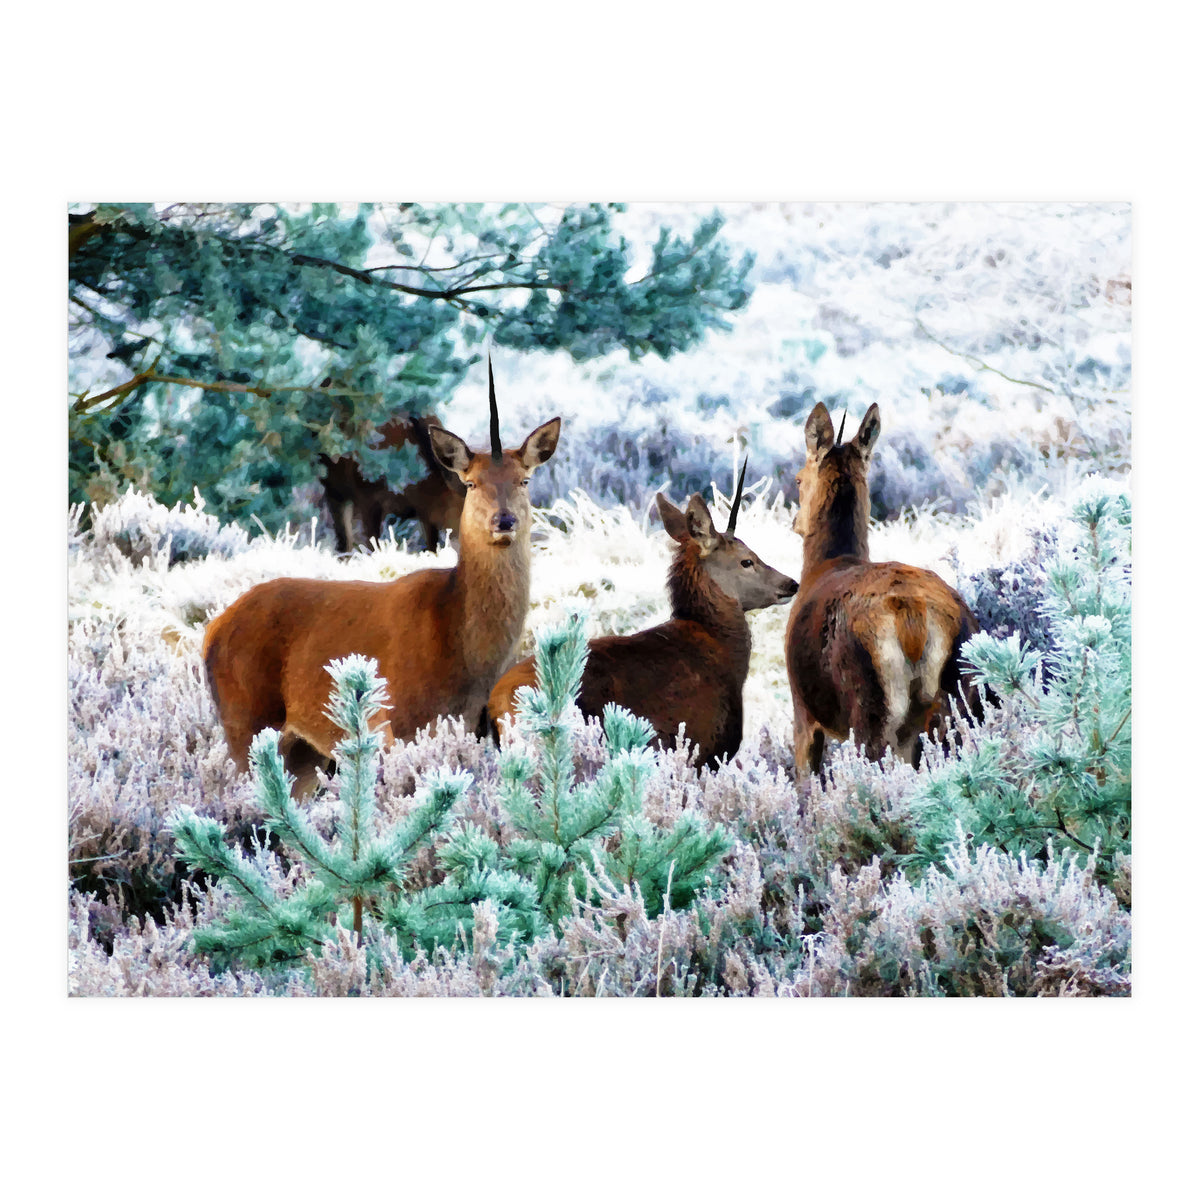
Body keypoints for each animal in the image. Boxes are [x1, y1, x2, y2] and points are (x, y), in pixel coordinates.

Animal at [320, 413, 466, 554]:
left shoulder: (425, 513)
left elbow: (432, 548)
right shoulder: (366, 498)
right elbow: (373, 546)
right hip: (334, 488)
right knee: (343, 535)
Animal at [784, 402, 981, 779]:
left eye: (798, 478)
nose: (795, 522)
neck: (824, 565)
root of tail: (913, 618)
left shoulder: (802, 710)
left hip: (870, 704)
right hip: (963, 692)